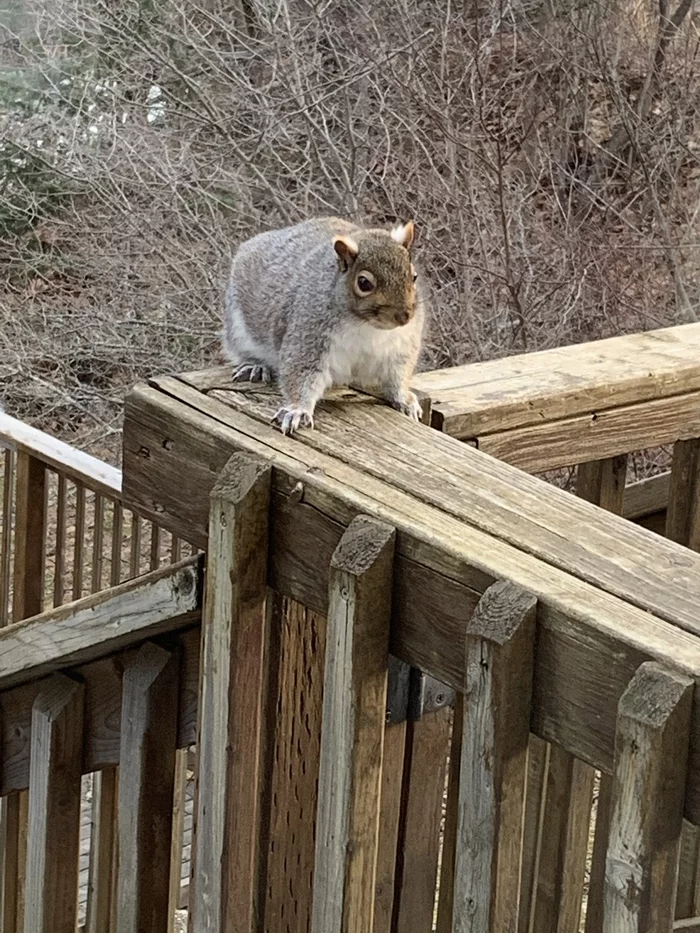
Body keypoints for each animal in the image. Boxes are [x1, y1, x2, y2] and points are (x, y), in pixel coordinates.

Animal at [221, 217, 424, 436]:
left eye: (414, 276)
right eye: (363, 283)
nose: (404, 316)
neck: (368, 326)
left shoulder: (402, 347)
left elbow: (397, 376)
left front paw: (405, 400)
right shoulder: (309, 334)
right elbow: (300, 372)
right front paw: (297, 410)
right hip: (238, 328)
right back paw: (255, 366)